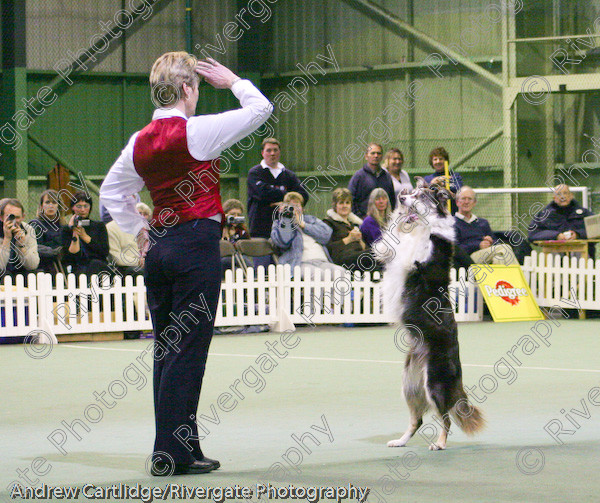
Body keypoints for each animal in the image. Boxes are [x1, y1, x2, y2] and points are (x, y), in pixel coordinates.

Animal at [378, 179, 486, 450]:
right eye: (412, 193)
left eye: (420, 196)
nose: (401, 197)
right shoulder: (393, 252)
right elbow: (390, 241)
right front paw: (399, 216)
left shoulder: (416, 262)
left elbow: (415, 248)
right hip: (410, 386)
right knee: (417, 420)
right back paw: (400, 441)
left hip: (434, 384)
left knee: (445, 418)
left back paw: (440, 443)